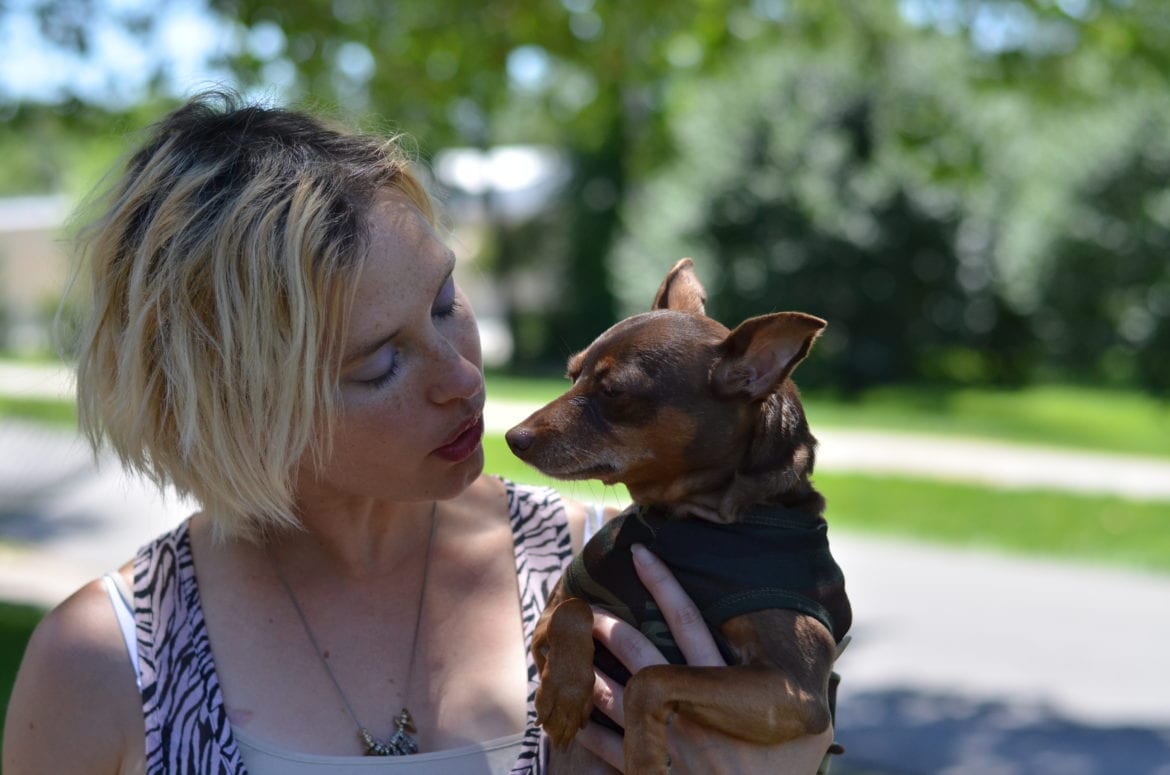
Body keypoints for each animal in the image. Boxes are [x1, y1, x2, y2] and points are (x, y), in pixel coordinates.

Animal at [505, 257, 851, 772]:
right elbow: (573, 609)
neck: (683, 520)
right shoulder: (553, 612)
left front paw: (645, 754)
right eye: (572, 376)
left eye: (614, 391)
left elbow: (652, 678)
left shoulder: (795, 689)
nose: (513, 437)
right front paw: (563, 696)